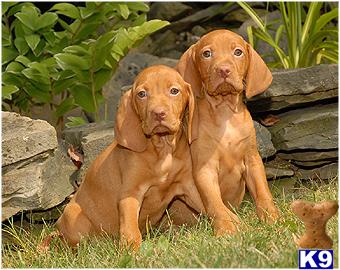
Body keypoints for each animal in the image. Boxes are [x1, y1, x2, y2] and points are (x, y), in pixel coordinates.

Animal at [42, 65, 205, 251]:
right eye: (142, 94)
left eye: (174, 91)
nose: (158, 113)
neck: (162, 150)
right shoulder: (130, 194)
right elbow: (130, 230)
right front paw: (131, 252)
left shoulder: (188, 186)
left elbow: (208, 204)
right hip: (74, 218)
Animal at [175, 30, 278, 236]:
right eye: (207, 54)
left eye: (238, 52)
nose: (223, 70)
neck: (224, 112)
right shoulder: (204, 169)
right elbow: (214, 202)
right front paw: (226, 228)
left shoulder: (252, 160)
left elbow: (263, 192)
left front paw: (271, 217)